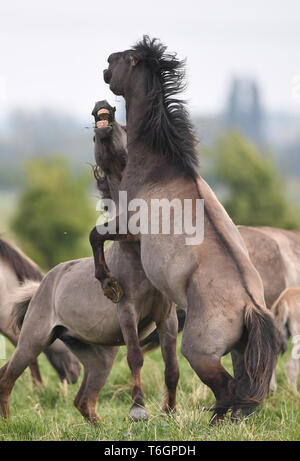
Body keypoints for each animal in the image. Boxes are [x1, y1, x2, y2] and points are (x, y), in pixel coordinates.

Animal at [89, 35, 278, 420]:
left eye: (121, 59)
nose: (104, 67)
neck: (161, 164)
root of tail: (250, 306)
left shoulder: (129, 226)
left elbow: (96, 235)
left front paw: (109, 284)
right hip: (239, 352)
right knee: (239, 391)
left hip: (199, 353)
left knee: (228, 390)